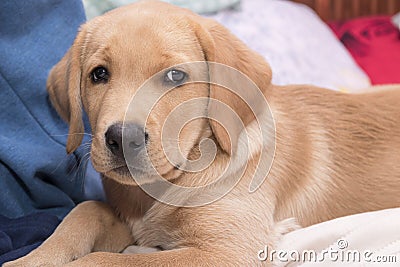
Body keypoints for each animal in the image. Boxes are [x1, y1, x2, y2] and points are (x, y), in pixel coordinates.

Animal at [5, 0, 400, 267]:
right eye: (98, 74)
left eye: (175, 76)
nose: (121, 139)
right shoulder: (131, 221)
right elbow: (84, 211)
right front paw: (30, 260)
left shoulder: (227, 250)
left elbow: (110, 259)